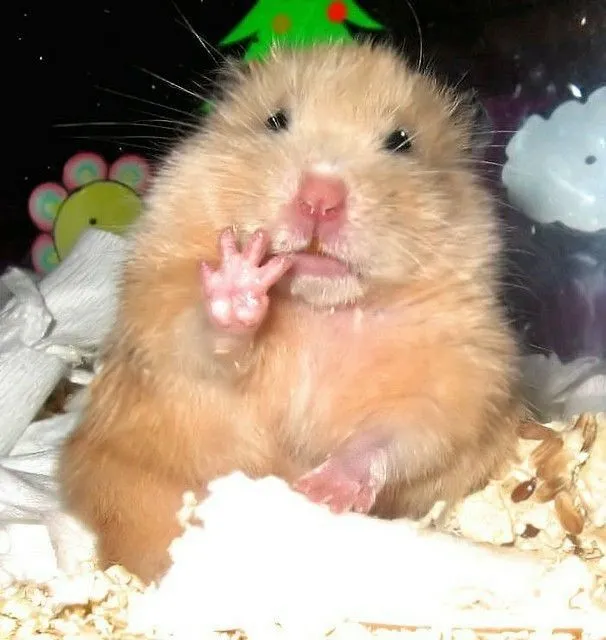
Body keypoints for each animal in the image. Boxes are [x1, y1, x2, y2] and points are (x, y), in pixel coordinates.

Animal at [58, 41, 524, 584]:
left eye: (401, 141)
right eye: (275, 120)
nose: (320, 198)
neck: (315, 307)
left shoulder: (456, 376)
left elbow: (396, 432)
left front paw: (320, 491)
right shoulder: (161, 316)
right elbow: (200, 340)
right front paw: (242, 277)